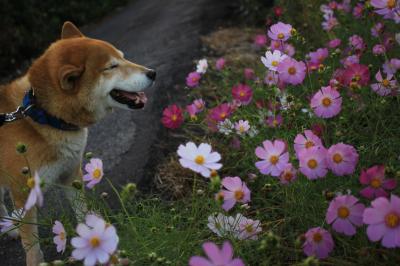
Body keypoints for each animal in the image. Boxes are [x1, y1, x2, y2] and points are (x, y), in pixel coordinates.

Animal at [0, 21, 155, 266]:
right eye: (112, 66)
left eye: (123, 57)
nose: (153, 73)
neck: (42, 116)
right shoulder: (23, 193)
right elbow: (31, 243)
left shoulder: (70, 176)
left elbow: (82, 212)